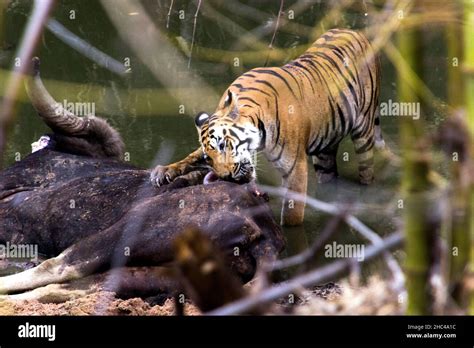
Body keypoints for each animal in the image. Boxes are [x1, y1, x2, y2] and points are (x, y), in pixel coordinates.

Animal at [150, 29, 384, 226]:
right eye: (209, 158)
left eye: (224, 145)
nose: (226, 178)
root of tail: (355, 31)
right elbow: (190, 157)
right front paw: (164, 171)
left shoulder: (295, 169)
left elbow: (291, 214)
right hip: (325, 149)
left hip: (364, 133)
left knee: (367, 172)